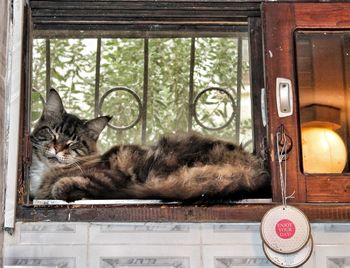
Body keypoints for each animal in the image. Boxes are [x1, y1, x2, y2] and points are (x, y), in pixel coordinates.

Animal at [30, 88, 270, 203]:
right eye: (52, 133)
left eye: (73, 143)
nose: (58, 148)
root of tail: (253, 169)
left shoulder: (111, 177)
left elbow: (66, 184)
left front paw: (60, 188)